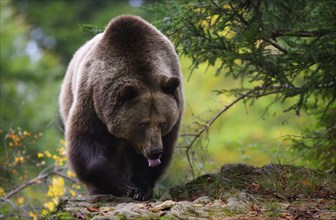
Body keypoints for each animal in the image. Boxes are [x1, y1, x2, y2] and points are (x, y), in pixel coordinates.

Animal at [58, 15, 184, 201]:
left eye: (162, 122)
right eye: (143, 123)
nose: (155, 151)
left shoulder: (175, 107)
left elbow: (151, 157)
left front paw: (140, 188)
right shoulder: (92, 100)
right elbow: (86, 141)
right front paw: (121, 184)